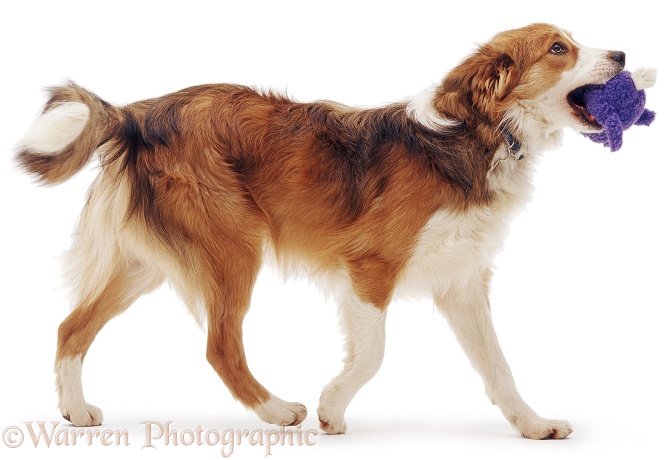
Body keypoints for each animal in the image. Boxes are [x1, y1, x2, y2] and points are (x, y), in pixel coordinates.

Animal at [15, 21, 628, 438]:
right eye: (559, 49)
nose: (623, 53)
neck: (478, 136)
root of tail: (135, 115)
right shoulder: (371, 268)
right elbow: (373, 353)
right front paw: (332, 408)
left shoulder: (462, 284)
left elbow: (499, 365)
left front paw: (533, 425)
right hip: (232, 249)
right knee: (219, 345)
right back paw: (277, 409)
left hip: (146, 263)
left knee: (71, 328)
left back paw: (74, 410)